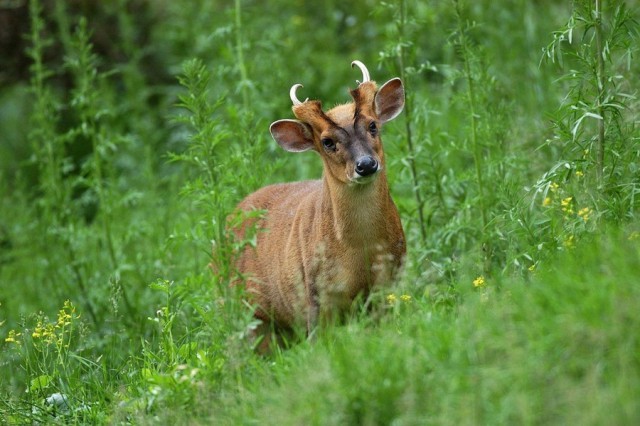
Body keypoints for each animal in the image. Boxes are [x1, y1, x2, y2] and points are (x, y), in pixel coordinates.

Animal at [232, 60, 408, 352]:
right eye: (327, 142)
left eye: (373, 125)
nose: (366, 164)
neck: (360, 251)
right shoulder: (317, 295)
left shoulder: (390, 280)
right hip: (245, 311)